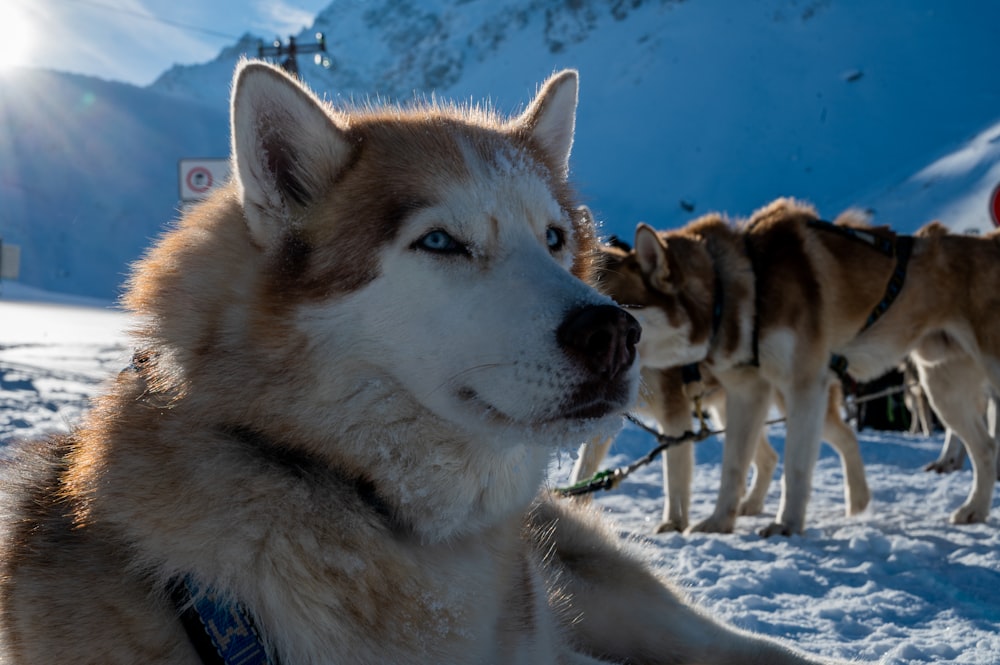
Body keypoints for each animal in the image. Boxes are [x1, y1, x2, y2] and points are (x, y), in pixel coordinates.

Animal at [572, 236, 868, 532]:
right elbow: (582, 473)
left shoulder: (675, 417)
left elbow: (675, 478)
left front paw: (674, 523)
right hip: (733, 410)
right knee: (769, 457)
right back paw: (751, 505)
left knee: (846, 438)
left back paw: (857, 504)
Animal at [616, 202, 1000, 536]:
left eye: (619, 304)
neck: (744, 284)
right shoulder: (746, 393)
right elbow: (734, 465)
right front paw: (719, 522)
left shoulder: (804, 386)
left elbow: (795, 465)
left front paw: (787, 524)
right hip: (941, 389)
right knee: (985, 447)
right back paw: (974, 509)